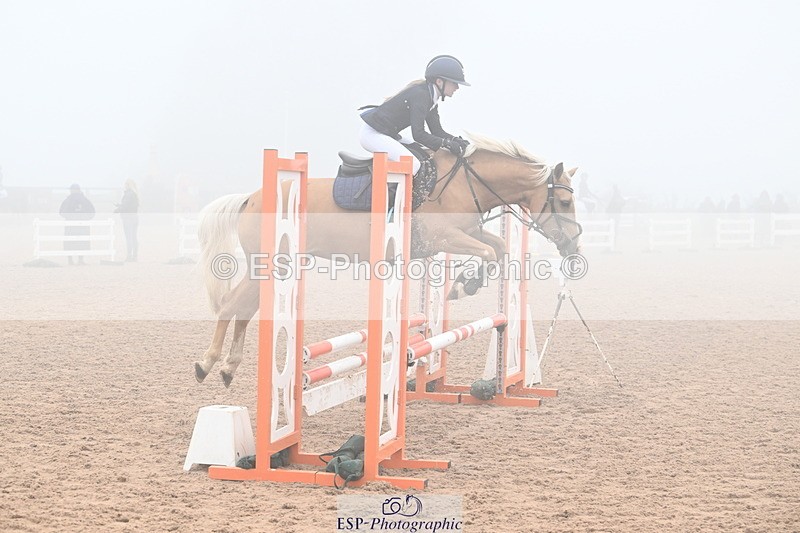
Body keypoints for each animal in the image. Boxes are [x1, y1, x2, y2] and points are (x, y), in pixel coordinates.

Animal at [194, 133, 582, 387]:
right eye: (564, 203)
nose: (574, 249)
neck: (464, 182)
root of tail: (250, 197)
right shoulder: (445, 237)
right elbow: (488, 252)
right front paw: (463, 285)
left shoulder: (468, 232)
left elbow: (499, 249)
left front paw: (467, 284)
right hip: (271, 262)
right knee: (231, 305)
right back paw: (207, 363)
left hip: (275, 266)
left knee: (245, 308)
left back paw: (228, 368)